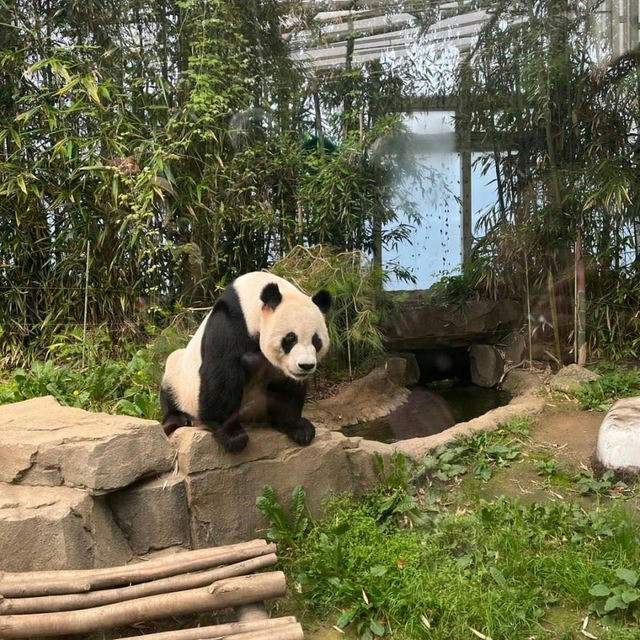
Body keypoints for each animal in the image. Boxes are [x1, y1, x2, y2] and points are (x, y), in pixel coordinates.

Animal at [159, 272, 332, 452]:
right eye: (291, 338)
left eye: (316, 341)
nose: (306, 366)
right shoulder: (229, 322)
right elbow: (222, 374)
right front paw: (232, 436)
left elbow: (285, 385)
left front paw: (299, 428)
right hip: (180, 379)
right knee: (171, 383)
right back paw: (178, 419)